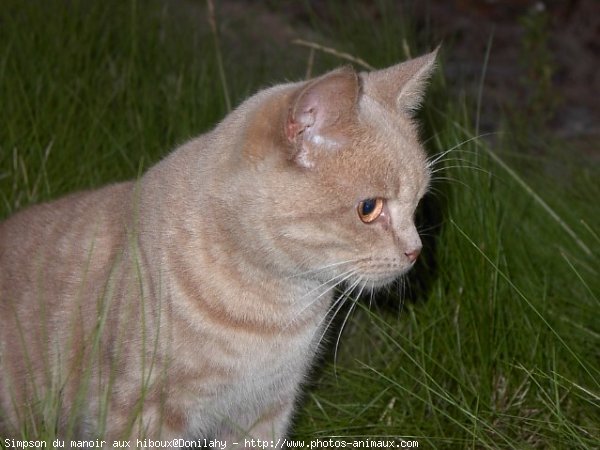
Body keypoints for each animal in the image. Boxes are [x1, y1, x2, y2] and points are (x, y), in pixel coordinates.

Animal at [1, 47, 436, 448]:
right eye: (369, 209)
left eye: (418, 204)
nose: (415, 252)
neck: (272, 310)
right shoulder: (142, 417)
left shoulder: (264, 413)